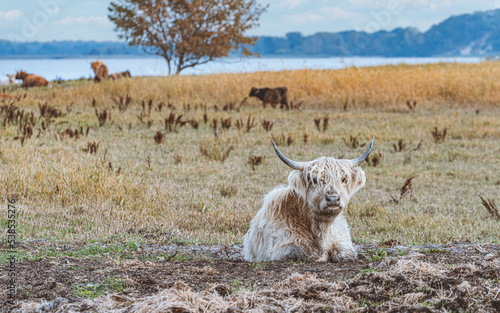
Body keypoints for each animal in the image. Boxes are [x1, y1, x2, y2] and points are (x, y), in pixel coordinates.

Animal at [244, 138, 374, 262]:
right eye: (315, 180)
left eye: (343, 179)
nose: (333, 199)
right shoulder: (279, 246)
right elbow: (297, 251)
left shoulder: (342, 240)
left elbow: (345, 253)